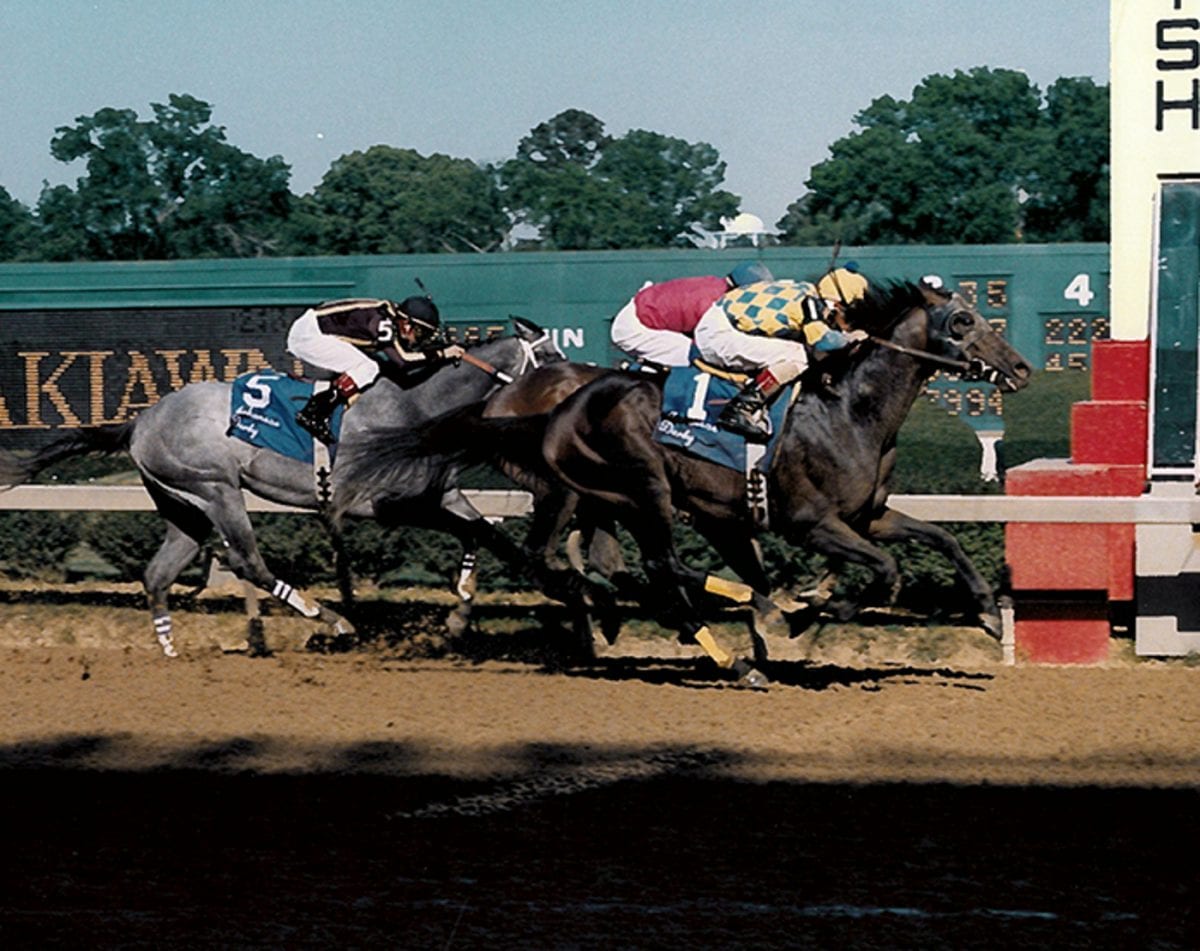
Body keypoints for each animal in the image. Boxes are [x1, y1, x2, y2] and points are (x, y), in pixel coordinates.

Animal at [0, 314, 564, 658]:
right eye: (554, 358)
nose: (577, 391)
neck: (414, 403)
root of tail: (140, 421)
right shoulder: (384, 503)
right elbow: (478, 532)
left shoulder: (441, 493)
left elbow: (485, 533)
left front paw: (468, 609)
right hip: (216, 489)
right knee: (246, 560)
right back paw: (328, 617)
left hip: (182, 505)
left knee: (158, 574)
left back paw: (171, 651)